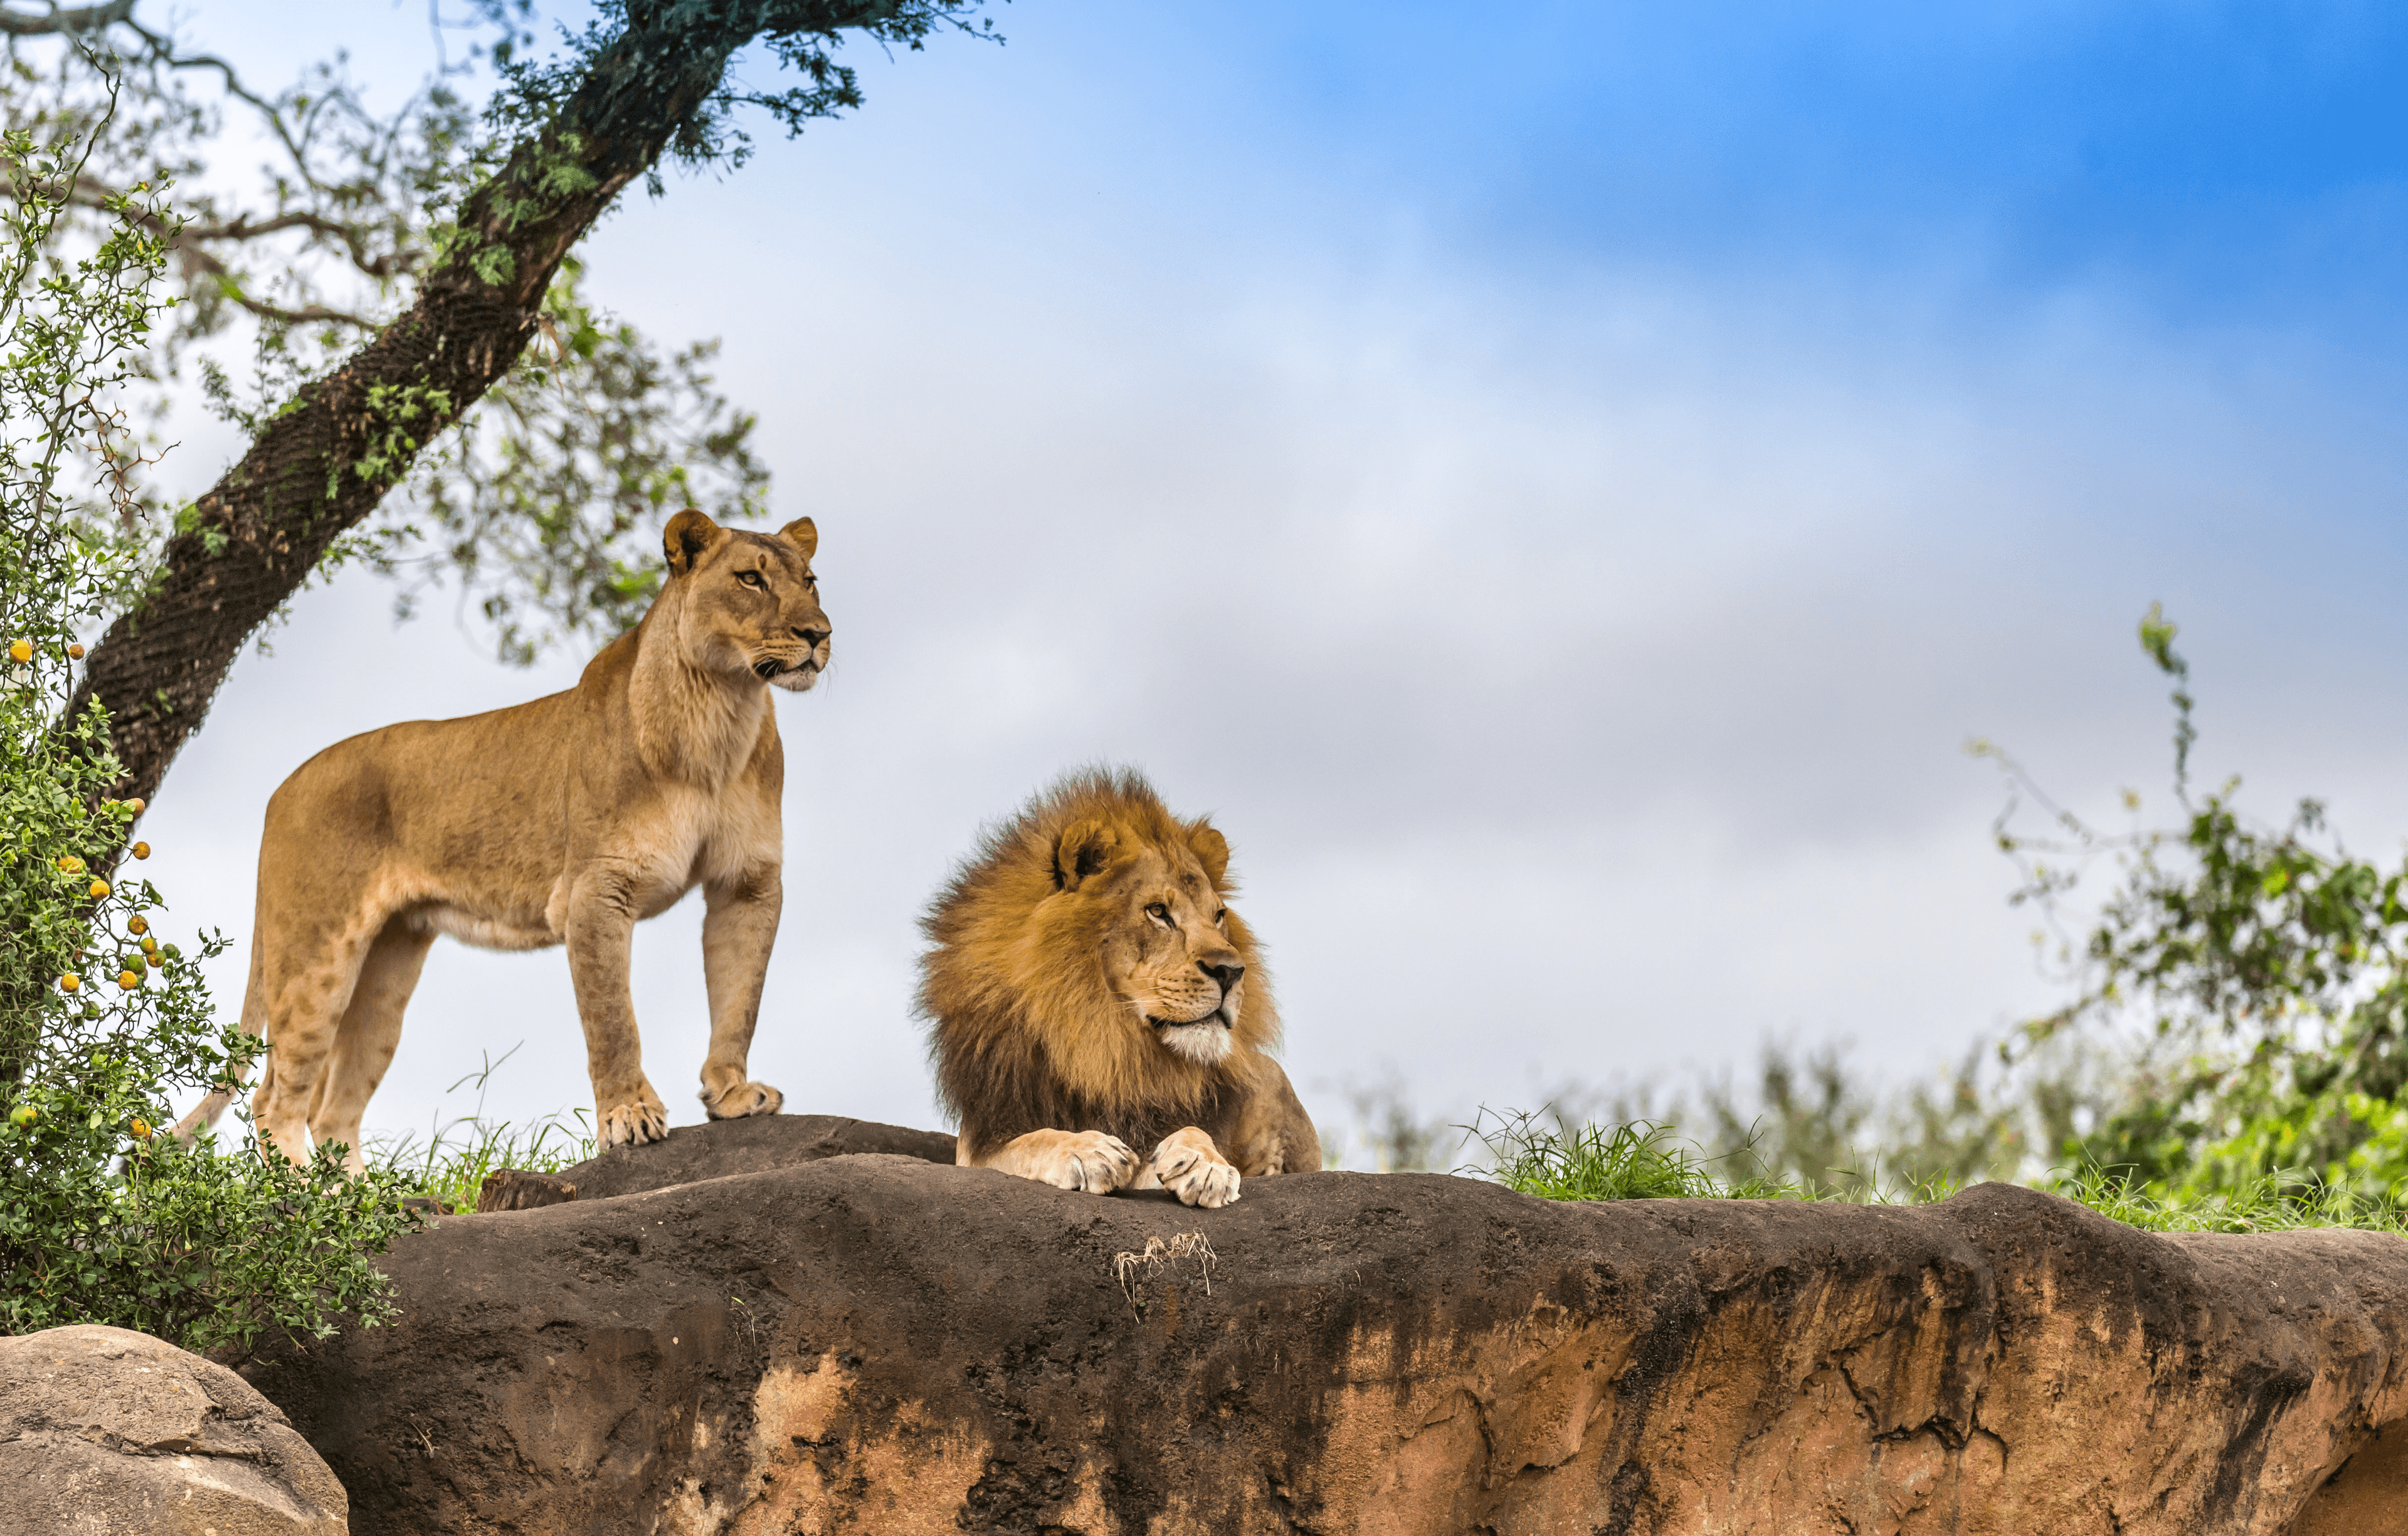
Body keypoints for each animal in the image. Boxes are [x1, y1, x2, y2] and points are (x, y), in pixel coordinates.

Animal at [174, 510, 833, 1174]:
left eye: (809, 580)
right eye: (750, 579)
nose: (819, 633)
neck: (721, 713)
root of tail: (279, 792)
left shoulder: (748, 882)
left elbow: (739, 997)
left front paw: (731, 1093)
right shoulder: (596, 888)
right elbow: (612, 1018)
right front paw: (629, 1116)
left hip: (386, 970)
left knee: (331, 1110)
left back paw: (361, 1196)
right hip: (316, 954)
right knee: (276, 1099)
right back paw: (308, 1192)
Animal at [919, 775, 1329, 1208]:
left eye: (1218, 916)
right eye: (1158, 911)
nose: (1232, 972)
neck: (1112, 1046)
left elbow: (1192, 1135)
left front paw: (1203, 1162)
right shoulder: (979, 1143)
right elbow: (1032, 1141)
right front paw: (1087, 1149)